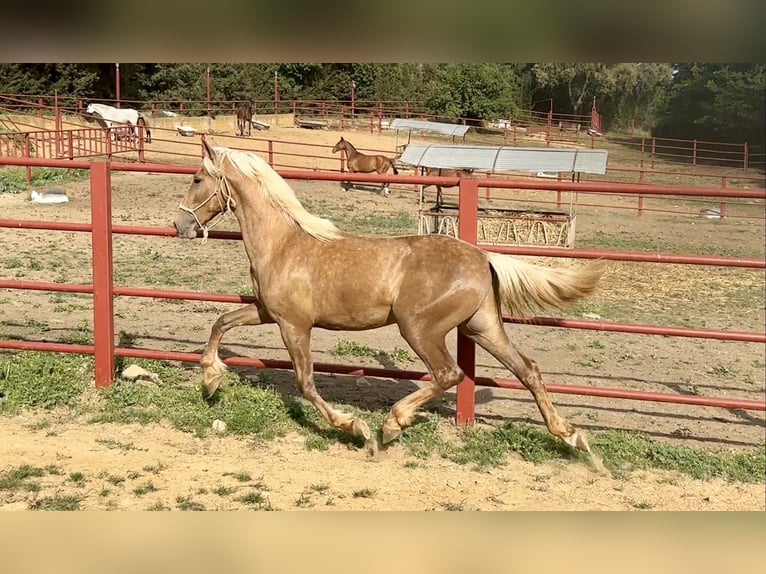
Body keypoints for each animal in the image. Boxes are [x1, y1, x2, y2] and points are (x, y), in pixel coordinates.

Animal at [172, 136, 606, 458]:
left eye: (196, 178)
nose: (178, 225)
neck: (284, 244)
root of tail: (483, 256)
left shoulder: (294, 325)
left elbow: (306, 383)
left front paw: (355, 427)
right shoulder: (267, 311)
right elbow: (220, 323)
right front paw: (210, 380)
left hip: (419, 328)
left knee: (450, 373)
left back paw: (391, 425)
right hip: (482, 326)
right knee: (527, 369)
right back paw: (571, 435)